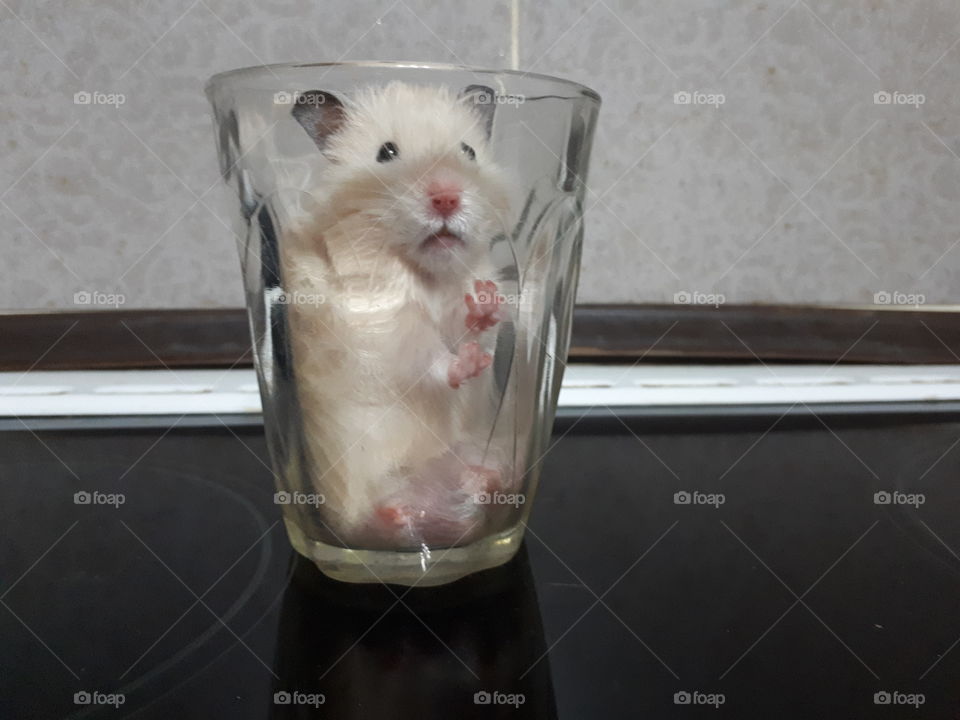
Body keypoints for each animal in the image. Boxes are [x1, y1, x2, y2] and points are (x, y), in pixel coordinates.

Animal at [281, 82, 515, 550]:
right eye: (386, 153)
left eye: (468, 151)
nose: (447, 197)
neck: (426, 273)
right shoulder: (380, 328)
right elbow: (429, 357)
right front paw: (466, 364)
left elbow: (471, 329)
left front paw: (484, 303)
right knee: (368, 518)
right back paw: (396, 514)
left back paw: (482, 480)